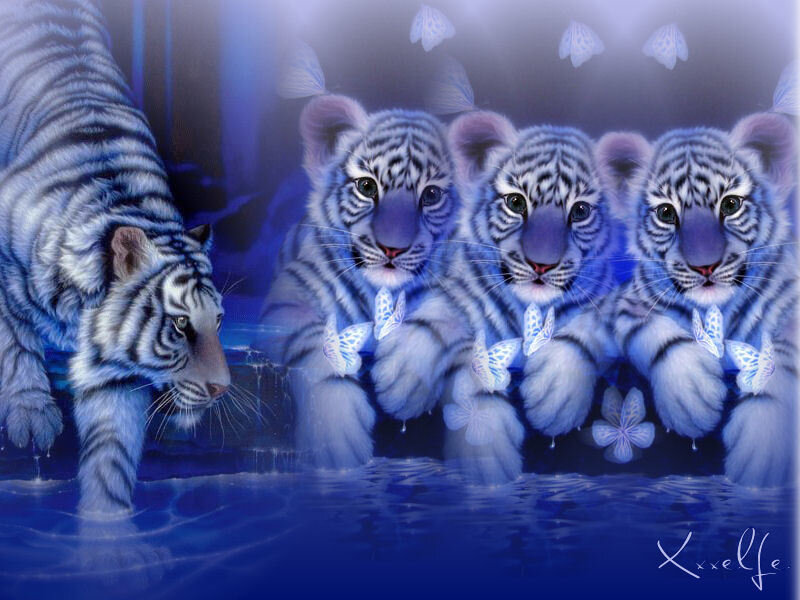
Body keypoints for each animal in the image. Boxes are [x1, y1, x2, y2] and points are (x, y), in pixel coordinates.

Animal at [0, 0, 230, 514]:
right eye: (180, 324)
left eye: (219, 321)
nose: (222, 388)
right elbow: (15, 345)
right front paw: (32, 416)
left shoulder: (114, 374)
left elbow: (113, 443)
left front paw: (107, 519)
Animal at [259, 94, 458, 469]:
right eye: (367, 187)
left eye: (431, 195)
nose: (392, 247)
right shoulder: (286, 300)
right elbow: (315, 344)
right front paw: (334, 431)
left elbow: (444, 313)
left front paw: (404, 376)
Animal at [371, 110, 622, 484]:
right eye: (516, 203)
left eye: (579, 211)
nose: (541, 264)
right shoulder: (459, 293)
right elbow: (445, 326)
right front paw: (404, 375)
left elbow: (583, 329)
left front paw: (555, 395)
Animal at [604, 112, 797, 487]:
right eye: (666, 213)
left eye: (731, 204)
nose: (705, 265)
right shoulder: (629, 303)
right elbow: (660, 335)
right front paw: (691, 396)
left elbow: (780, 362)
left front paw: (763, 445)